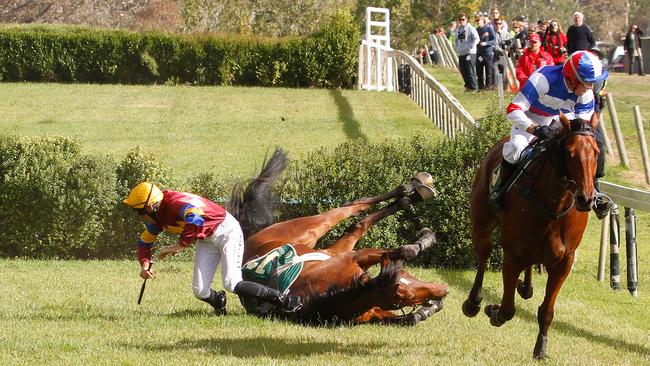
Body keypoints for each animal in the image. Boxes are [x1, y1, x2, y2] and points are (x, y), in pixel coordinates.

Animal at [228, 149, 446, 326]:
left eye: (408, 274)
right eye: (403, 293)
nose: (443, 289)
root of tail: (250, 238)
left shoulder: (355, 258)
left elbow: (399, 252)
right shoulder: (362, 281)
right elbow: (408, 314)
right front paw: (429, 307)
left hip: (322, 242)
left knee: (357, 217)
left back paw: (413, 192)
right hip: (313, 229)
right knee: (352, 213)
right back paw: (411, 192)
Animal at [460, 113, 596, 358]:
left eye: (597, 153)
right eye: (570, 152)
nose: (586, 199)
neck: (554, 204)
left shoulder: (564, 260)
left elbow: (546, 311)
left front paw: (541, 348)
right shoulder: (513, 254)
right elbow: (507, 309)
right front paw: (493, 310)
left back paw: (526, 288)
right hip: (482, 220)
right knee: (484, 253)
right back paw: (474, 302)